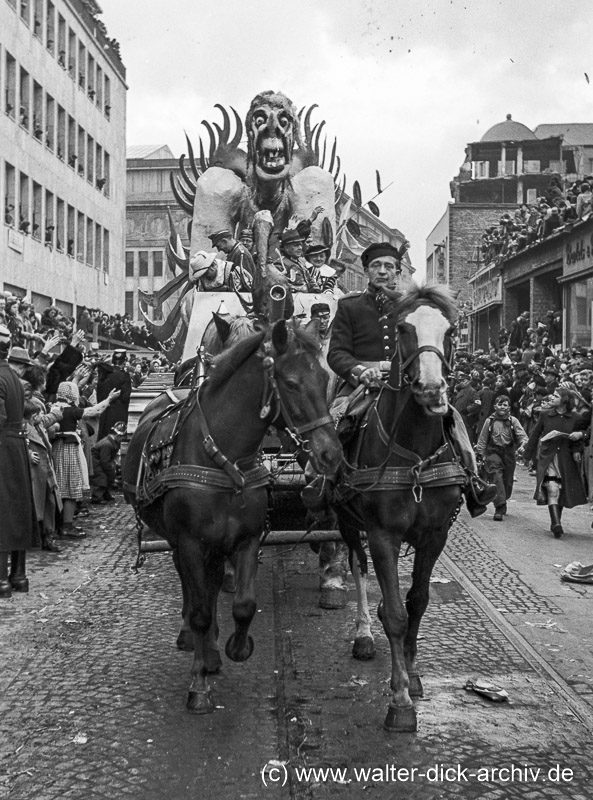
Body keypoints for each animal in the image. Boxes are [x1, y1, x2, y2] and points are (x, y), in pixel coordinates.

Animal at [122, 318, 340, 712]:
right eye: (291, 383)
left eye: (325, 379)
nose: (330, 453)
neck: (225, 459)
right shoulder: (190, 543)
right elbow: (200, 611)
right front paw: (199, 685)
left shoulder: (246, 539)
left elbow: (243, 604)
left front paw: (237, 647)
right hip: (181, 543)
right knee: (192, 593)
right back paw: (194, 641)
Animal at [336, 286, 464, 732]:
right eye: (404, 328)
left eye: (450, 330)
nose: (431, 389)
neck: (415, 453)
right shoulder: (382, 534)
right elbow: (394, 613)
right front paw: (400, 699)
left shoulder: (435, 535)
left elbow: (417, 602)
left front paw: (413, 672)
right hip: (346, 522)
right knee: (356, 566)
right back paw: (362, 632)